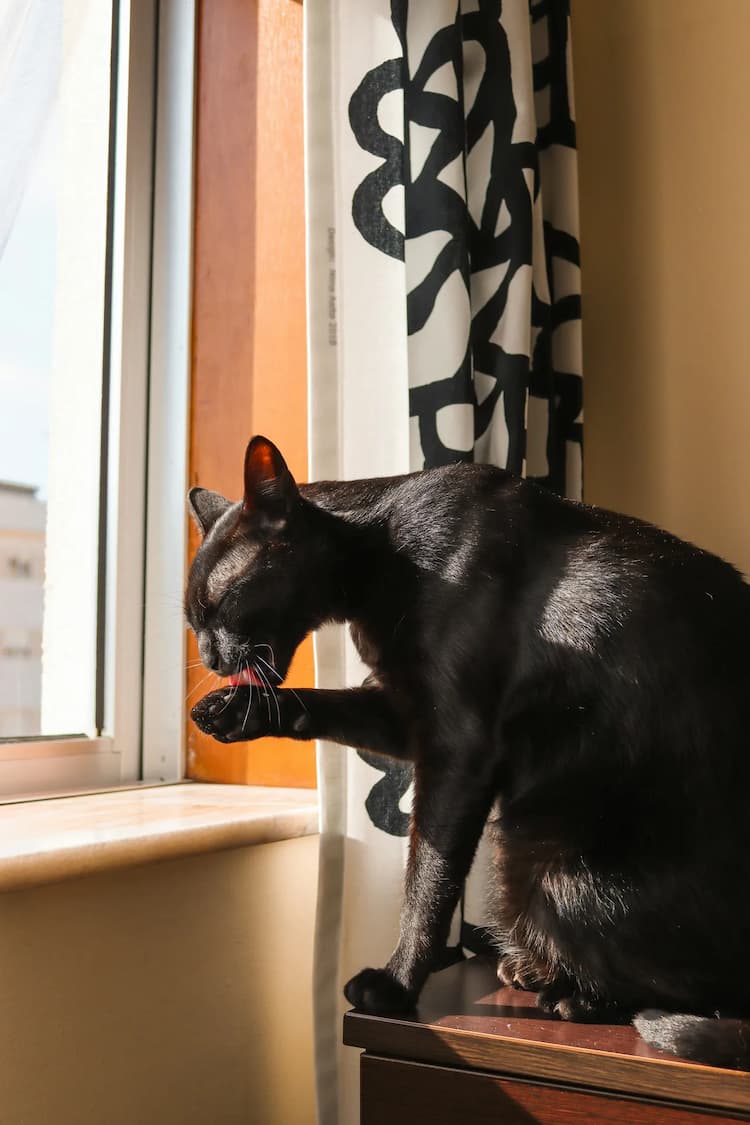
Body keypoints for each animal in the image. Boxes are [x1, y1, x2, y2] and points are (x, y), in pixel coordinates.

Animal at [187, 434, 750, 1066]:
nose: (208, 656)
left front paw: (396, 985)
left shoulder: (457, 747)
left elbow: (427, 882)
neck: (380, 553)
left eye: (218, 604)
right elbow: (318, 703)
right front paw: (235, 711)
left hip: (549, 869)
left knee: (693, 991)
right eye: (192, 618)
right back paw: (532, 971)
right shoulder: (405, 714)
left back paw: (571, 995)